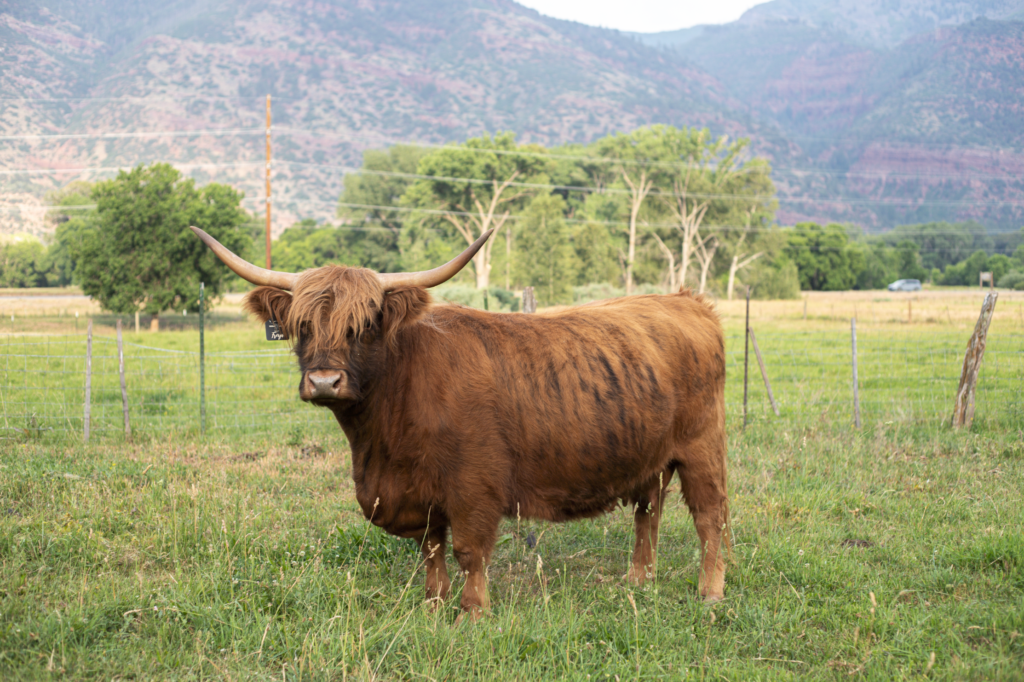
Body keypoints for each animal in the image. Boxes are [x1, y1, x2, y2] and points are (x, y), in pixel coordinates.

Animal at [191, 225, 729, 618]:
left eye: (363, 326)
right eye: (302, 327)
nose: (325, 381)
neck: (381, 441)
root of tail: (684, 300)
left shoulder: (474, 485)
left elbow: (470, 550)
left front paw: (472, 610)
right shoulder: (417, 491)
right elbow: (431, 549)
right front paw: (434, 603)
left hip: (702, 448)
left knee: (709, 518)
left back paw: (710, 592)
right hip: (650, 457)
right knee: (648, 513)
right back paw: (638, 580)